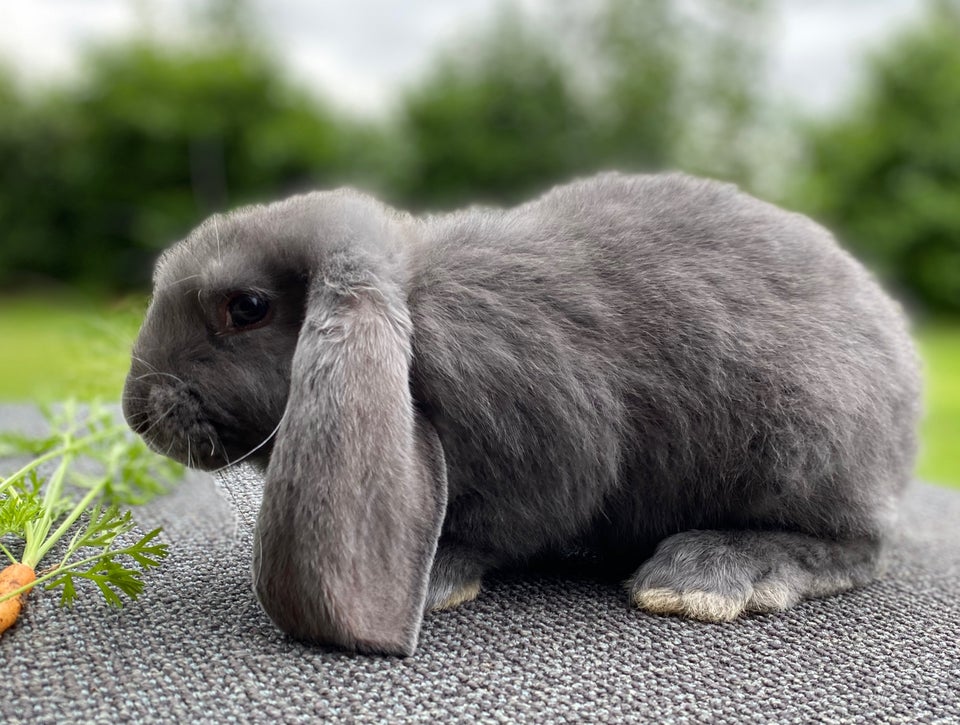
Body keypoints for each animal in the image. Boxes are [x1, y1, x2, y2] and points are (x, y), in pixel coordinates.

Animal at [122, 174, 924, 656]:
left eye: (246, 308)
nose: (137, 413)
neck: (421, 308)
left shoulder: (548, 446)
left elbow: (502, 525)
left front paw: (439, 575)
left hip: (804, 445)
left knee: (859, 545)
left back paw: (705, 574)